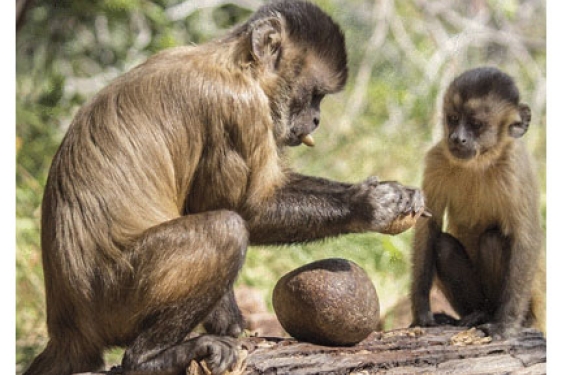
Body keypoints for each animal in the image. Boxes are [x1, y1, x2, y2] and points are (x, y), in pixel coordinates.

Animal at [23, 1, 424, 374]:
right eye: (315, 95)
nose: (316, 119)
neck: (234, 65)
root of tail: (67, 327)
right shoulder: (237, 106)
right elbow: (245, 211)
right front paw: (370, 205)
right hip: (114, 301)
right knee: (226, 227)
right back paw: (148, 358)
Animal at [406, 67, 544, 340]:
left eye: (476, 124)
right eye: (453, 118)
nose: (457, 138)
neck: (481, 162)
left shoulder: (515, 167)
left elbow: (527, 239)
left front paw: (506, 326)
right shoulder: (437, 158)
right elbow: (429, 228)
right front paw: (422, 313)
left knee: (492, 240)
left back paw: (503, 318)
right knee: (444, 245)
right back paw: (477, 313)